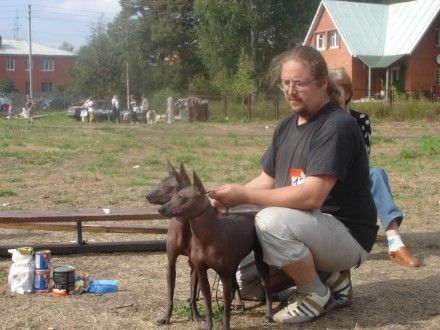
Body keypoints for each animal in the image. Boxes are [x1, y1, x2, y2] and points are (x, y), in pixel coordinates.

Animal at [158, 173, 272, 330]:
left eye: (181, 197)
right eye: (172, 195)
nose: (160, 209)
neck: (207, 236)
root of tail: (251, 213)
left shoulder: (223, 274)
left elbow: (226, 304)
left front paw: (225, 325)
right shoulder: (201, 271)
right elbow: (207, 303)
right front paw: (208, 325)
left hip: (259, 262)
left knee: (266, 288)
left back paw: (268, 314)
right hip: (233, 266)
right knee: (235, 285)